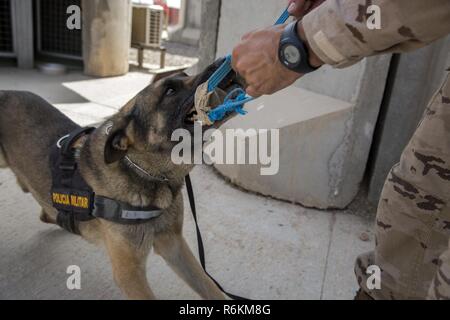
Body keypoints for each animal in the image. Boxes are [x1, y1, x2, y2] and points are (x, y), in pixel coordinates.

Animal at [0, 60, 243, 300]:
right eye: (170, 91)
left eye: (185, 75)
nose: (224, 62)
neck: (146, 173)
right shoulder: (129, 274)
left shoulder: (173, 244)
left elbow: (209, 286)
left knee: (45, 213)